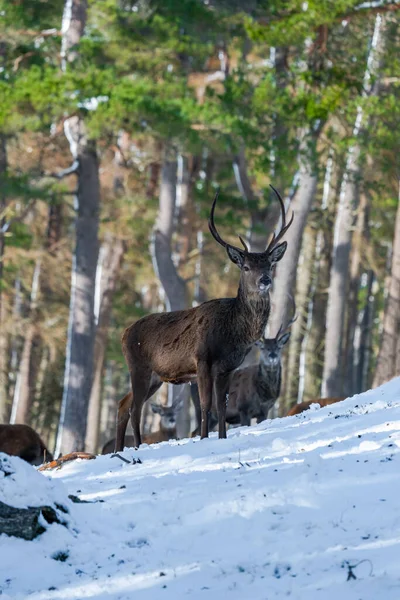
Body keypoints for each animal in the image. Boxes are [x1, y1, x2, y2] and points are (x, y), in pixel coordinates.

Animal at [116, 185, 294, 448]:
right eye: (246, 267)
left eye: (269, 265)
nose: (265, 280)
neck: (233, 333)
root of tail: (124, 334)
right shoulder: (202, 359)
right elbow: (205, 405)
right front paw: (203, 438)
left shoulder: (227, 367)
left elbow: (221, 405)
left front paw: (221, 437)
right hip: (138, 366)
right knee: (135, 408)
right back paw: (137, 446)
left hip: (155, 376)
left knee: (123, 404)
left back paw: (117, 450)